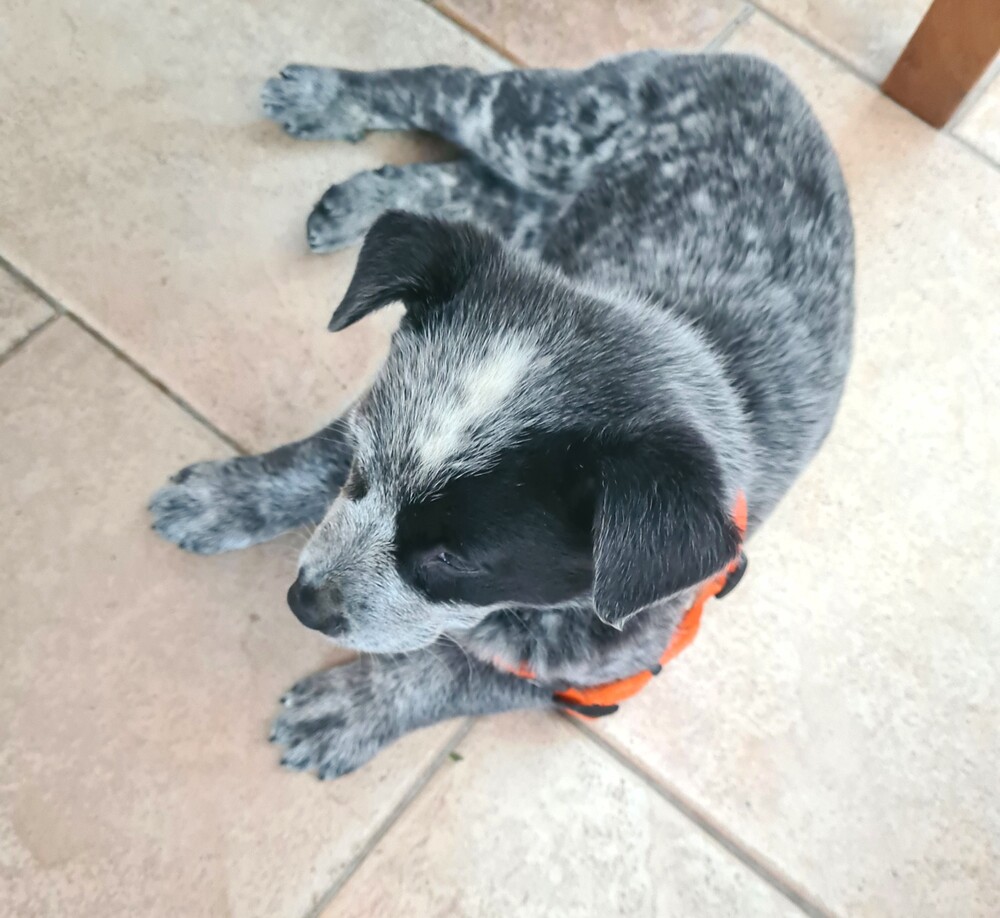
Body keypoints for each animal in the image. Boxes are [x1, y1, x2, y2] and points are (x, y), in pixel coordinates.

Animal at [149, 51, 853, 778]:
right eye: (363, 474)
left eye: (456, 560)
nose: (304, 601)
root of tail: (769, 71)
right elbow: (316, 459)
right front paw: (227, 498)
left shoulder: (591, 674)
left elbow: (443, 674)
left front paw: (348, 713)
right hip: (539, 127)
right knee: (445, 88)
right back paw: (328, 99)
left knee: (489, 191)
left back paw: (361, 195)